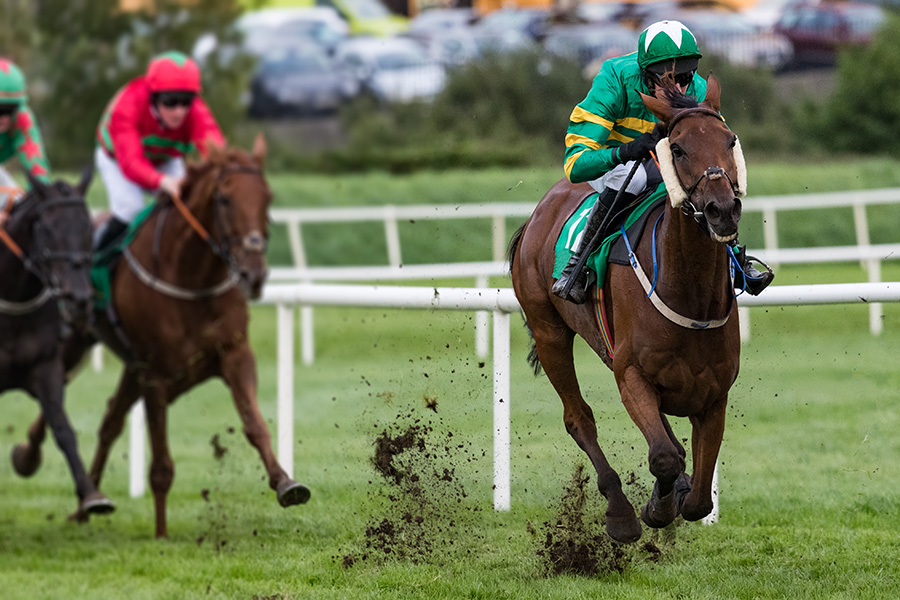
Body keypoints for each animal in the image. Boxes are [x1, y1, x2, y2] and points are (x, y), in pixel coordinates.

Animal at [2, 170, 116, 517]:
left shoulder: (47, 367)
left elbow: (64, 429)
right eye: (47, 228)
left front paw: (92, 495)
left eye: (88, 228)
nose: (78, 297)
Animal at [17, 135, 310, 538]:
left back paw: (85, 505)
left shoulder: (233, 354)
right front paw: (161, 533)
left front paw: (286, 483)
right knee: (61, 393)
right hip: (77, 341)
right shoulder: (154, 371)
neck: (191, 277)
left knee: (110, 421)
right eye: (224, 199)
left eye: (268, 196)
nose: (254, 274)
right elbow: (161, 464)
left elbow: (255, 424)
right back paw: (30, 458)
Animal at [508, 75, 743, 544]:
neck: (689, 291)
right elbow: (665, 458)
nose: (722, 209)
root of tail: (538, 213)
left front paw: (677, 495)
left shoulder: (714, 390)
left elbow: (699, 496)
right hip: (549, 331)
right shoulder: (631, 373)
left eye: (729, 141)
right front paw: (655, 508)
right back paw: (619, 512)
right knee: (578, 418)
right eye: (678, 148)